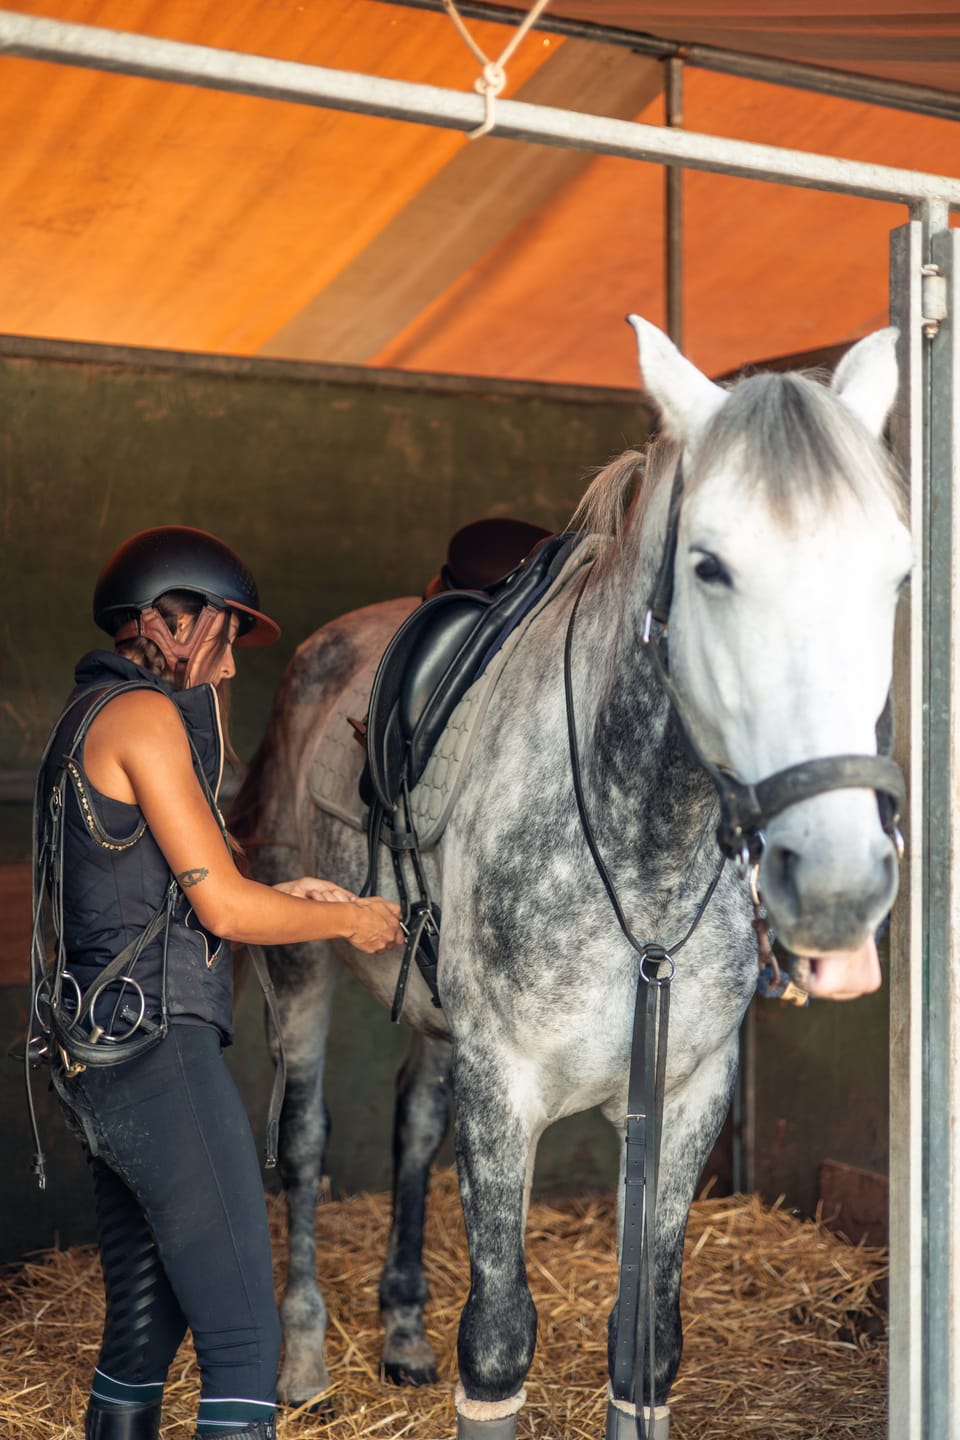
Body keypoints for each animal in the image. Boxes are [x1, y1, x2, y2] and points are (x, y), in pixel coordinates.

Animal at [234, 318, 911, 1439]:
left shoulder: (682, 1097)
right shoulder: (505, 1091)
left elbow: (646, 1343)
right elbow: (499, 1340)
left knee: (413, 1127)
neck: (646, 861)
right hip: (300, 966)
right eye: (710, 566)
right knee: (303, 1139)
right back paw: (301, 1361)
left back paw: (401, 1333)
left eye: (895, 576)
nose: (838, 879)